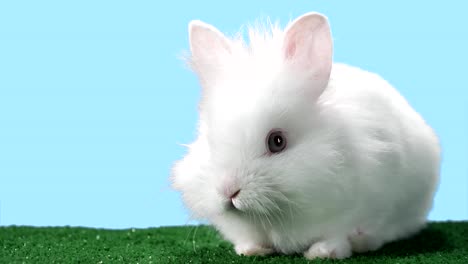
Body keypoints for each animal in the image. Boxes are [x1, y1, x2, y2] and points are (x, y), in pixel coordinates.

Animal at [170, 12, 440, 260]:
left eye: (277, 141)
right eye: (209, 141)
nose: (228, 191)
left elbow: (339, 234)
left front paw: (323, 252)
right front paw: (252, 250)